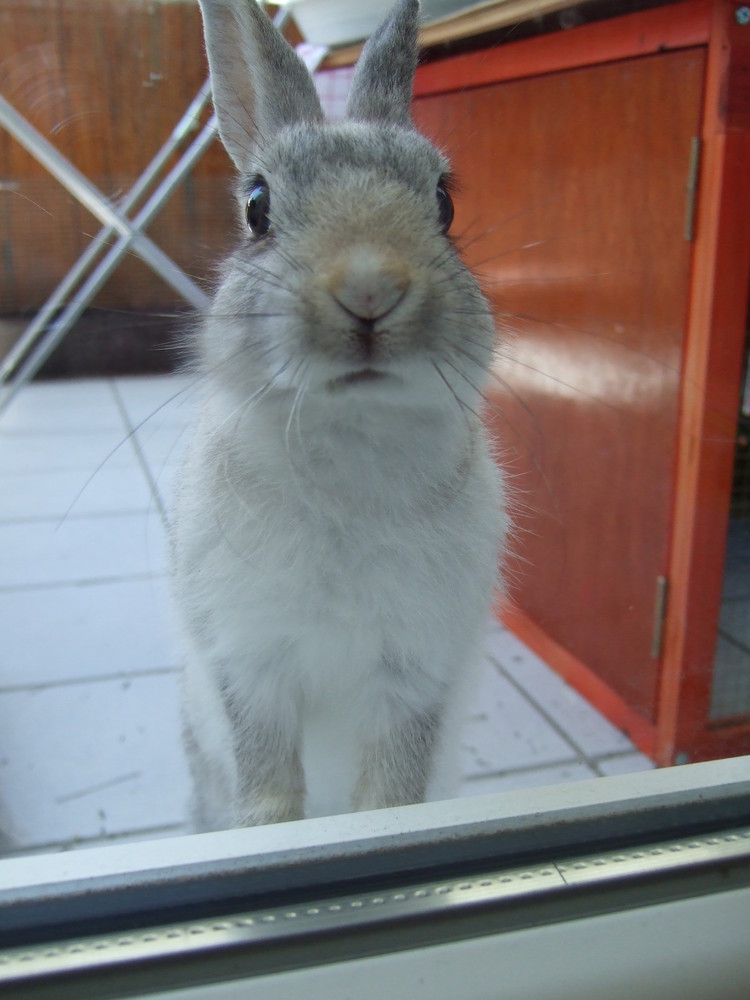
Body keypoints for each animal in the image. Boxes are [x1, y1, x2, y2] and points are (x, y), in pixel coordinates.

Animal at [173, 0, 508, 832]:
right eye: (257, 206)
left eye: (445, 203)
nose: (369, 288)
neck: (352, 427)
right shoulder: (252, 665)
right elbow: (268, 784)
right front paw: (269, 832)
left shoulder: (413, 674)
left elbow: (390, 791)